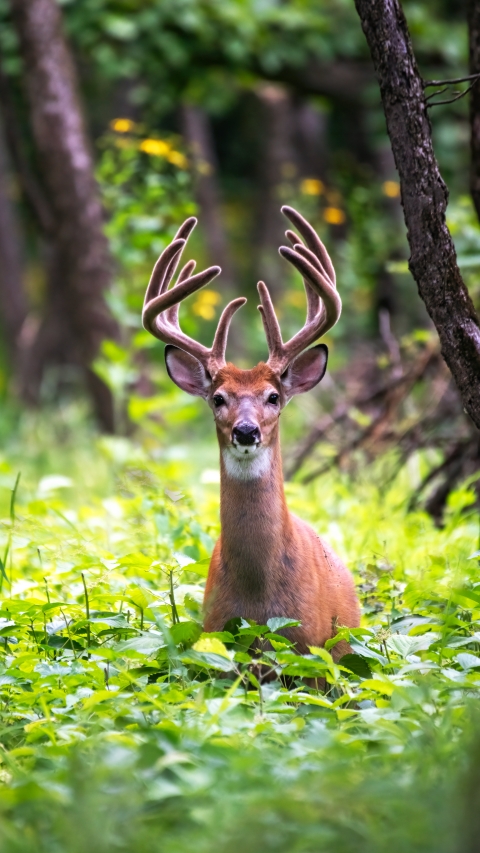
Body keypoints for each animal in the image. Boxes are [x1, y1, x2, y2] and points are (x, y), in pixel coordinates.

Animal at [143, 205, 360, 659]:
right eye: (217, 398)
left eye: (273, 396)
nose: (245, 432)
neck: (259, 599)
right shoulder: (216, 635)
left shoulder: (308, 646)